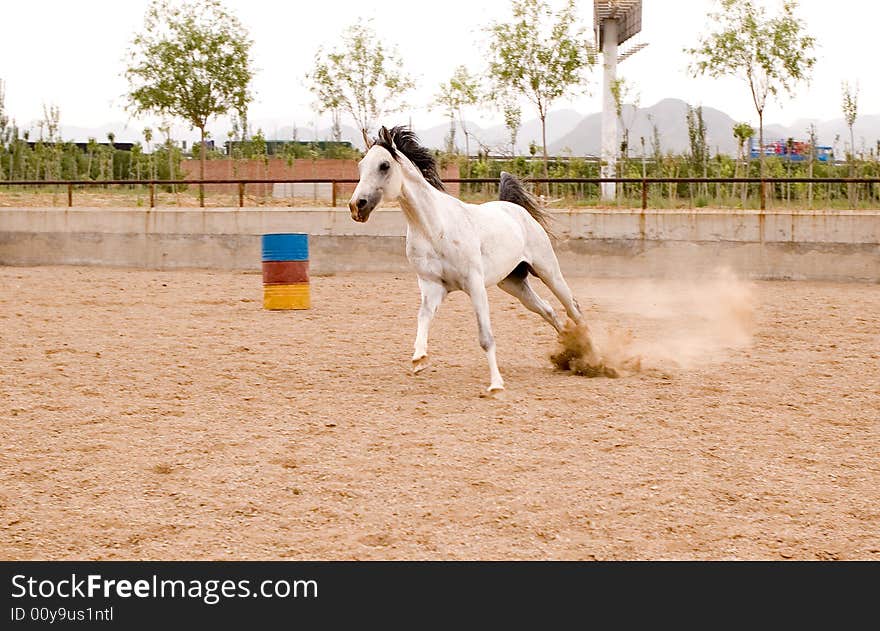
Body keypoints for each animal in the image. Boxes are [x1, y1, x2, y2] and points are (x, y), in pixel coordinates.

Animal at [348, 127, 584, 396]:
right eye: (361, 165)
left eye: (384, 165)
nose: (356, 206)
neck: (435, 229)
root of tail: (514, 207)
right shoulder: (432, 286)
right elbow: (423, 317)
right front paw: (419, 359)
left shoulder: (475, 285)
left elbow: (485, 337)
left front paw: (496, 385)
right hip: (513, 283)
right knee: (547, 310)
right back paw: (570, 352)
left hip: (548, 271)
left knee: (572, 307)